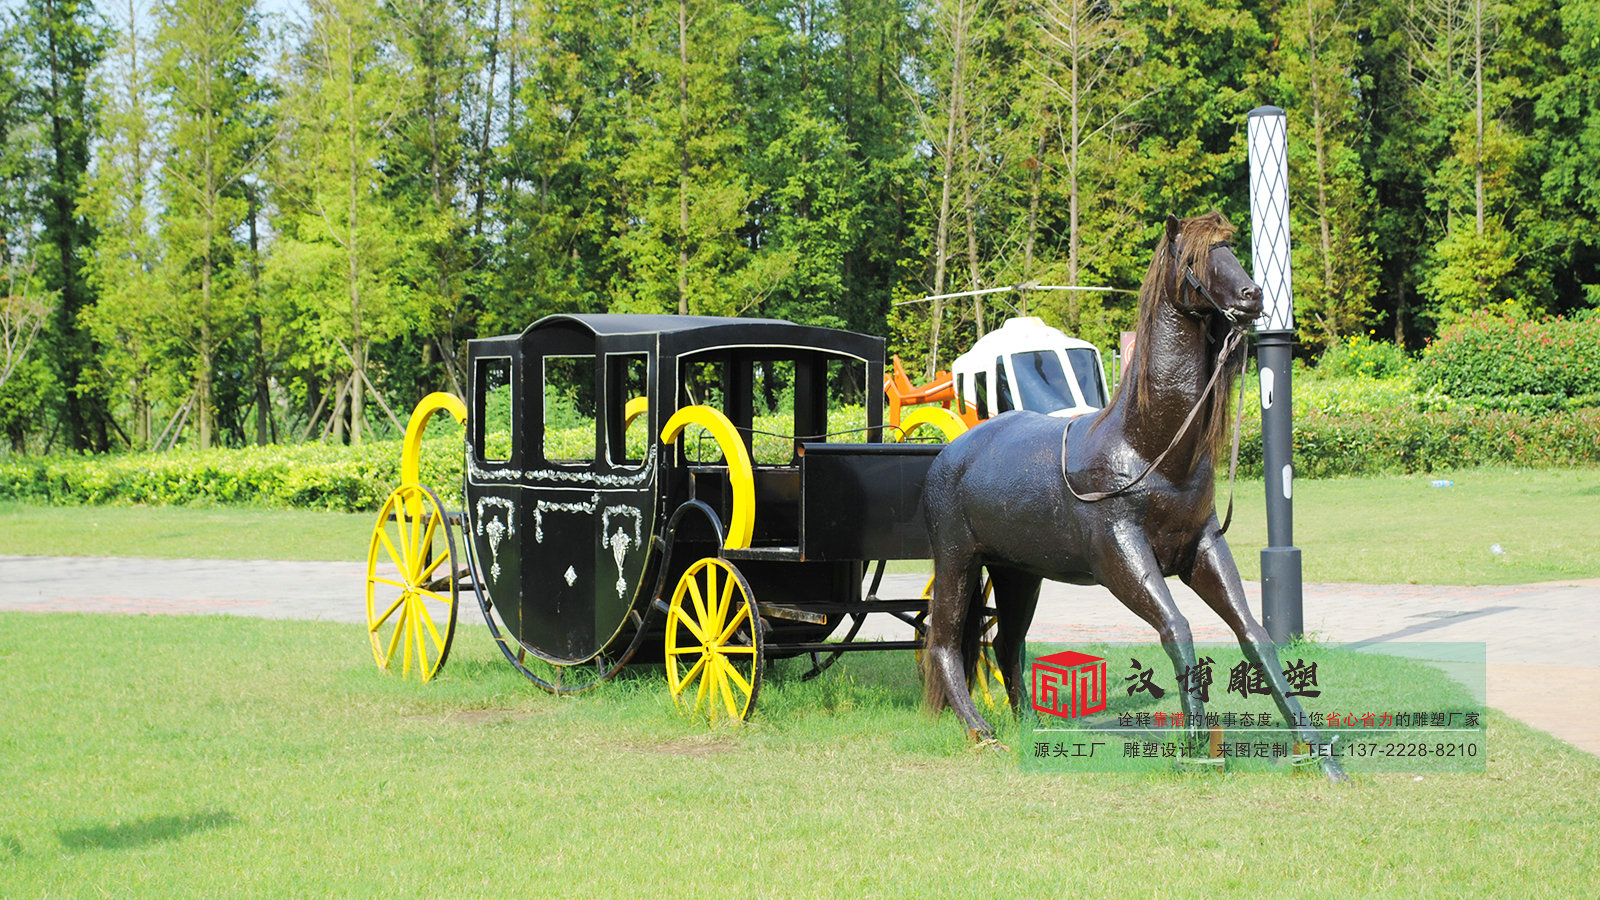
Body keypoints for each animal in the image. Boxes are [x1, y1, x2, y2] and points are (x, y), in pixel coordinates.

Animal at [928, 212, 1350, 781]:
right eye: (1195, 257)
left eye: (1232, 247)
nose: (1252, 295)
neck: (1149, 450)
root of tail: (950, 454)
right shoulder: (1121, 558)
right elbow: (1177, 628)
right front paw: (1197, 749)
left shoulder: (1203, 548)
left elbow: (1253, 633)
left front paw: (1317, 751)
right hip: (957, 561)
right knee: (947, 642)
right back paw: (983, 734)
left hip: (1018, 573)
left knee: (1005, 641)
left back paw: (1032, 730)